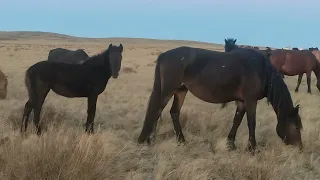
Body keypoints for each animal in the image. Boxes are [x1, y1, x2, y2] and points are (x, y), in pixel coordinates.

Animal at [137, 40, 302, 152]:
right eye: (295, 127)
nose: (300, 147)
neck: (261, 71)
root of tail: (164, 55)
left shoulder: (242, 101)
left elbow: (237, 120)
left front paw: (231, 144)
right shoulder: (250, 100)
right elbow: (251, 122)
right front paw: (252, 148)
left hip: (180, 91)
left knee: (173, 112)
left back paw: (181, 141)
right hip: (168, 90)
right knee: (157, 111)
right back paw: (149, 140)